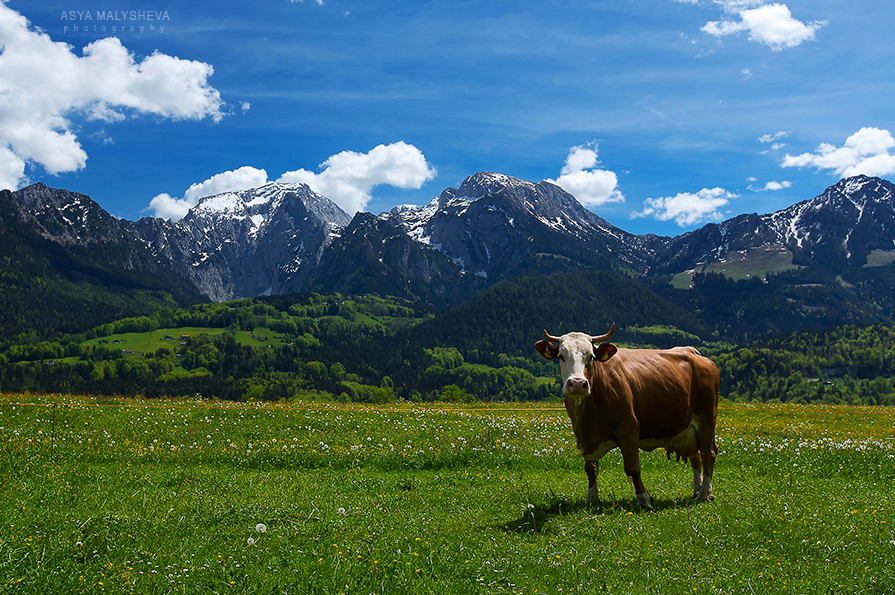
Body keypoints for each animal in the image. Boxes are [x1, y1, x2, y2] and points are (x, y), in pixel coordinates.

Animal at [536, 324, 716, 510]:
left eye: (591, 356)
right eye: (561, 356)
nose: (578, 383)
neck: (587, 414)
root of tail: (694, 353)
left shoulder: (629, 430)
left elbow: (633, 469)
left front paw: (644, 500)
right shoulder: (583, 437)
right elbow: (591, 469)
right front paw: (592, 498)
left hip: (706, 419)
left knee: (708, 454)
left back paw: (704, 494)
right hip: (689, 430)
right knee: (696, 457)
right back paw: (697, 491)